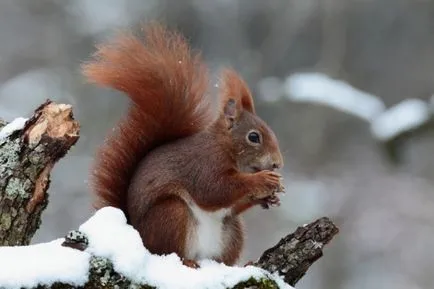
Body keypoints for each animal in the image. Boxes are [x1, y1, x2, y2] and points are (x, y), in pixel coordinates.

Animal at [82, 24, 284, 266]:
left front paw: (269, 196)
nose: (278, 164)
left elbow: (232, 204)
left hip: (232, 229)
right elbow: (215, 190)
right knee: (168, 250)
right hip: (171, 214)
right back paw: (187, 262)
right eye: (254, 137)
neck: (224, 146)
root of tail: (137, 233)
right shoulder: (204, 164)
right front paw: (262, 181)